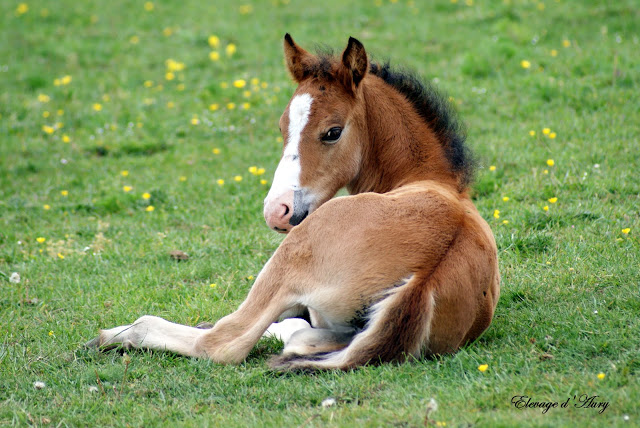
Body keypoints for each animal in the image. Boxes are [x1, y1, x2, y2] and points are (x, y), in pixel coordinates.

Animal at [91, 35, 500, 370]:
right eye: (281, 126)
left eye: (333, 132)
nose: (277, 210)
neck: (429, 179)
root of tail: (421, 280)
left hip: (289, 256)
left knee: (225, 340)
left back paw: (114, 335)